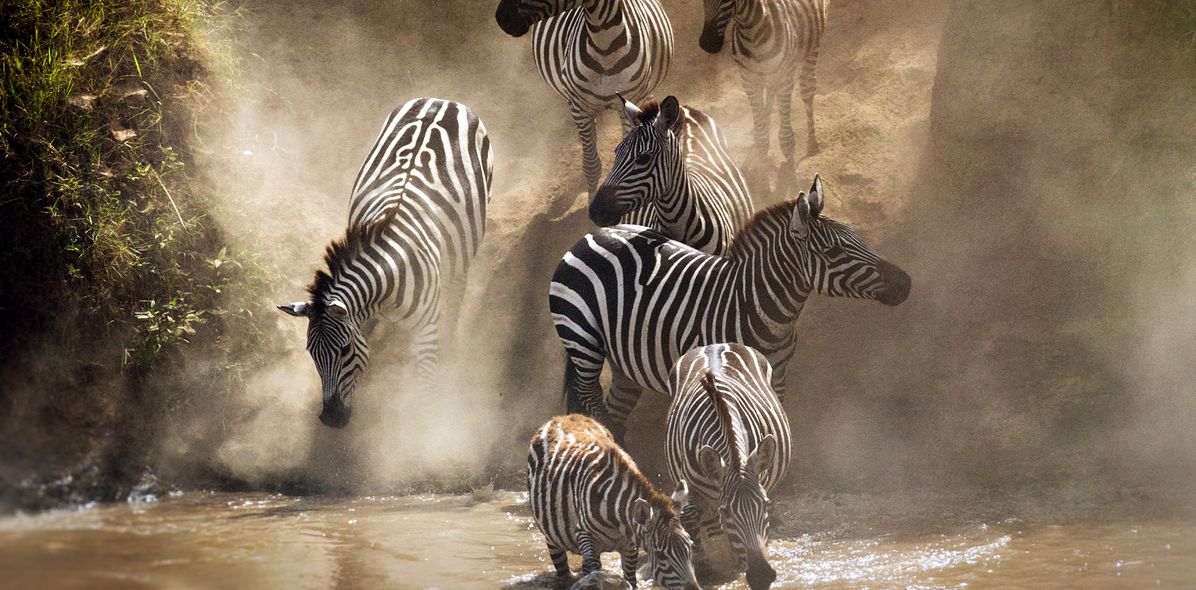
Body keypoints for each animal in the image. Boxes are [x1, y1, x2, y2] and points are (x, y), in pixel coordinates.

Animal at [277, 98, 493, 428]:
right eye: (311, 354)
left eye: (344, 350)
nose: (331, 420)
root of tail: (443, 100)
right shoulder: (359, 317)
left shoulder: (427, 329)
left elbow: (427, 389)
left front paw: (428, 429)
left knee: (458, 288)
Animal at [527, 414, 701, 590]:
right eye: (661, 555)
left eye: (690, 546)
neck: (616, 519)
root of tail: (564, 417)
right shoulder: (585, 535)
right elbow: (594, 572)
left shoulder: (630, 546)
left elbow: (630, 579)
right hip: (552, 539)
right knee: (563, 570)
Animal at [549, 174, 909, 437]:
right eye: (834, 252)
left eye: (855, 236)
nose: (905, 282)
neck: (762, 309)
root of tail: (592, 235)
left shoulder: (776, 376)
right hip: (582, 340)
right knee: (591, 399)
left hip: (626, 357)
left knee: (614, 409)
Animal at [666, 343, 791, 590]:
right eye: (727, 512)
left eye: (766, 505)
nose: (761, 576)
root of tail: (713, 344)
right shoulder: (692, 489)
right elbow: (693, 520)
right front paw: (706, 568)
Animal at [699, 0, 829, 162]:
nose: (707, 43)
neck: (751, 33)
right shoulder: (748, 78)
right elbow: (760, 124)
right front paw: (761, 153)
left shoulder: (784, 77)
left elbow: (786, 138)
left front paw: (788, 163)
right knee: (770, 92)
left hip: (812, 47)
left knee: (807, 88)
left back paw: (812, 143)